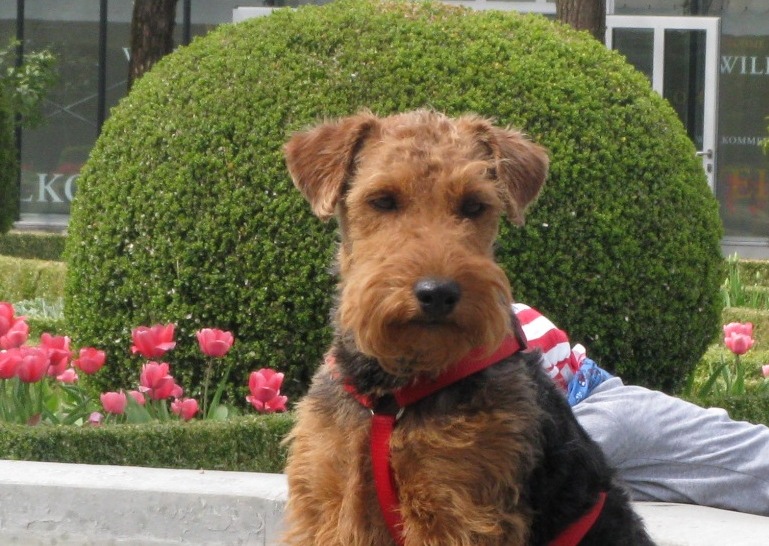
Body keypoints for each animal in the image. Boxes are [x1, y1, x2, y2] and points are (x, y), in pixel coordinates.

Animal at [281, 110, 655, 545]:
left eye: (474, 205)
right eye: (383, 200)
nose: (437, 293)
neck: (391, 394)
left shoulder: (455, 509)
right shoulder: (329, 500)